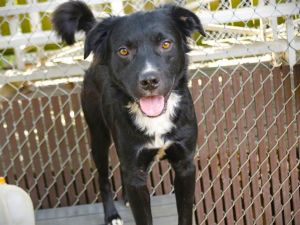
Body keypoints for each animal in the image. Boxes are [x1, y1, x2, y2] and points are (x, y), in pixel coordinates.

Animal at [52, 1, 205, 223]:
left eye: (166, 44)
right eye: (123, 51)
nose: (149, 81)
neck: (155, 119)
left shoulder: (184, 165)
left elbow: (184, 214)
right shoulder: (135, 170)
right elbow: (143, 217)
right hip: (98, 136)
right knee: (103, 178)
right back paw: (111, 215)